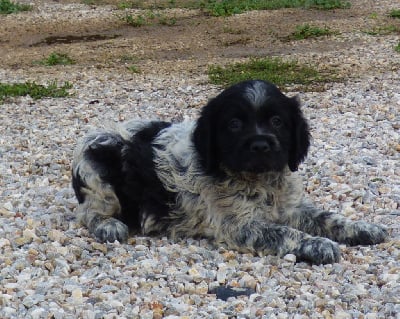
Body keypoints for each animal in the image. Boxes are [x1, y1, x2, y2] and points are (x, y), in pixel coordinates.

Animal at [72, 79, 388, 264]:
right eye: (234, 124)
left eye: (277, 121)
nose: (260, 145)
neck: (259, 180)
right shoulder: (239, 225)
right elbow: (287, 233)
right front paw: (318, 245)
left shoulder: (289, 207)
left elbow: (326, 216)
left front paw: (362, 228)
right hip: (97, 169)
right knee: (89, 213)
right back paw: (109, 225)